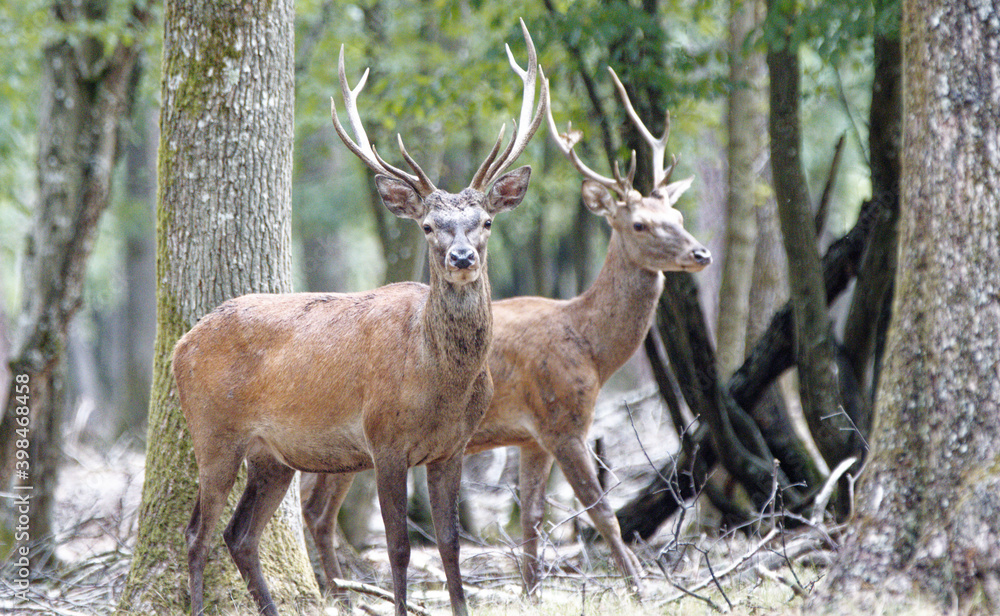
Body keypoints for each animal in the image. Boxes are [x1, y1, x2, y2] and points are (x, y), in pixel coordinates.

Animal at [173, 22, 547, 616]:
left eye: (486, 220)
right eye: (427, 226)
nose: (461, 258)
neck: (440, 382)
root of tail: (180, 345)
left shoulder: (453, 447)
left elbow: (449, 544)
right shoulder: (384, 439)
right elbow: (398, 547)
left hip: (273, 457)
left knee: (240, 534)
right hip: (213, 433)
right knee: (197, 533)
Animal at [300, 66, 711, 597]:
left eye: (676, 216)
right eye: (639, 224)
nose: (700, 253)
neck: (590, 347)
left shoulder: (531, 436)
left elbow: (532, 517)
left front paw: (531, 590)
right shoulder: (563, 420)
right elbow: (602, 511)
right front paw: (640, 588)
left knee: (314, 508)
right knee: (316, 510)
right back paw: (337, 593)